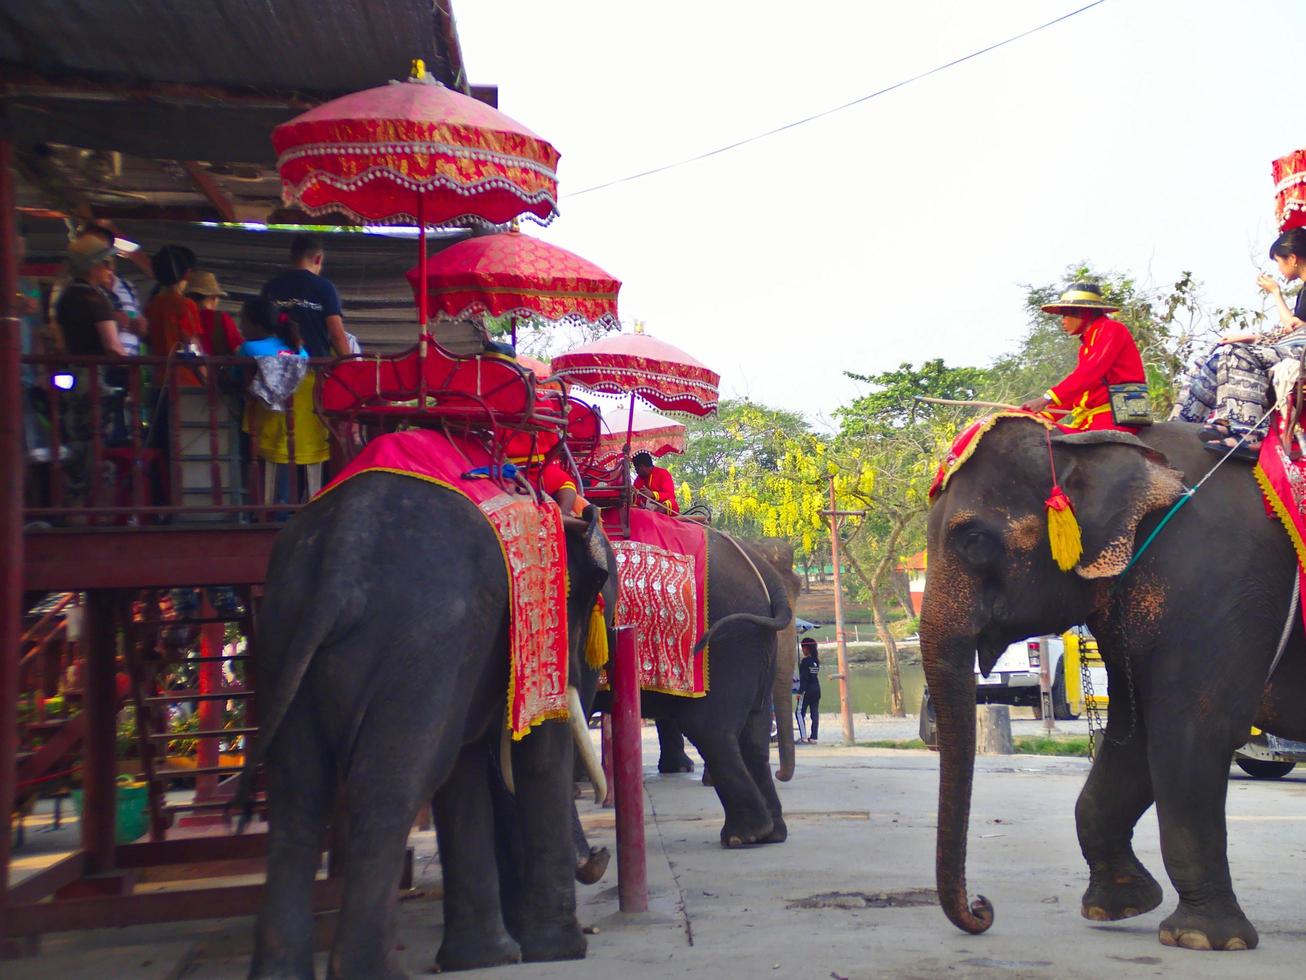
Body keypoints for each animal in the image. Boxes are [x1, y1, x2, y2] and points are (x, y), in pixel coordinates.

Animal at [244, 473, 611, 977]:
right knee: (387, 792)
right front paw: (560, 951)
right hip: (421, 642)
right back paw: (372, 971)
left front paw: (485, 959)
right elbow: (536, 756)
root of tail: (340, 556)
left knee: (298, 798)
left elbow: (464, 770)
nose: (599, 857)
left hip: (281, 636)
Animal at [919, 418, 1306, 956]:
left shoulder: (1217, 584)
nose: (982, 907)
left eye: (973, 538)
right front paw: (1120, 906)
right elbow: (1133, 739)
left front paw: (1204, 939)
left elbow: (1194, 731)